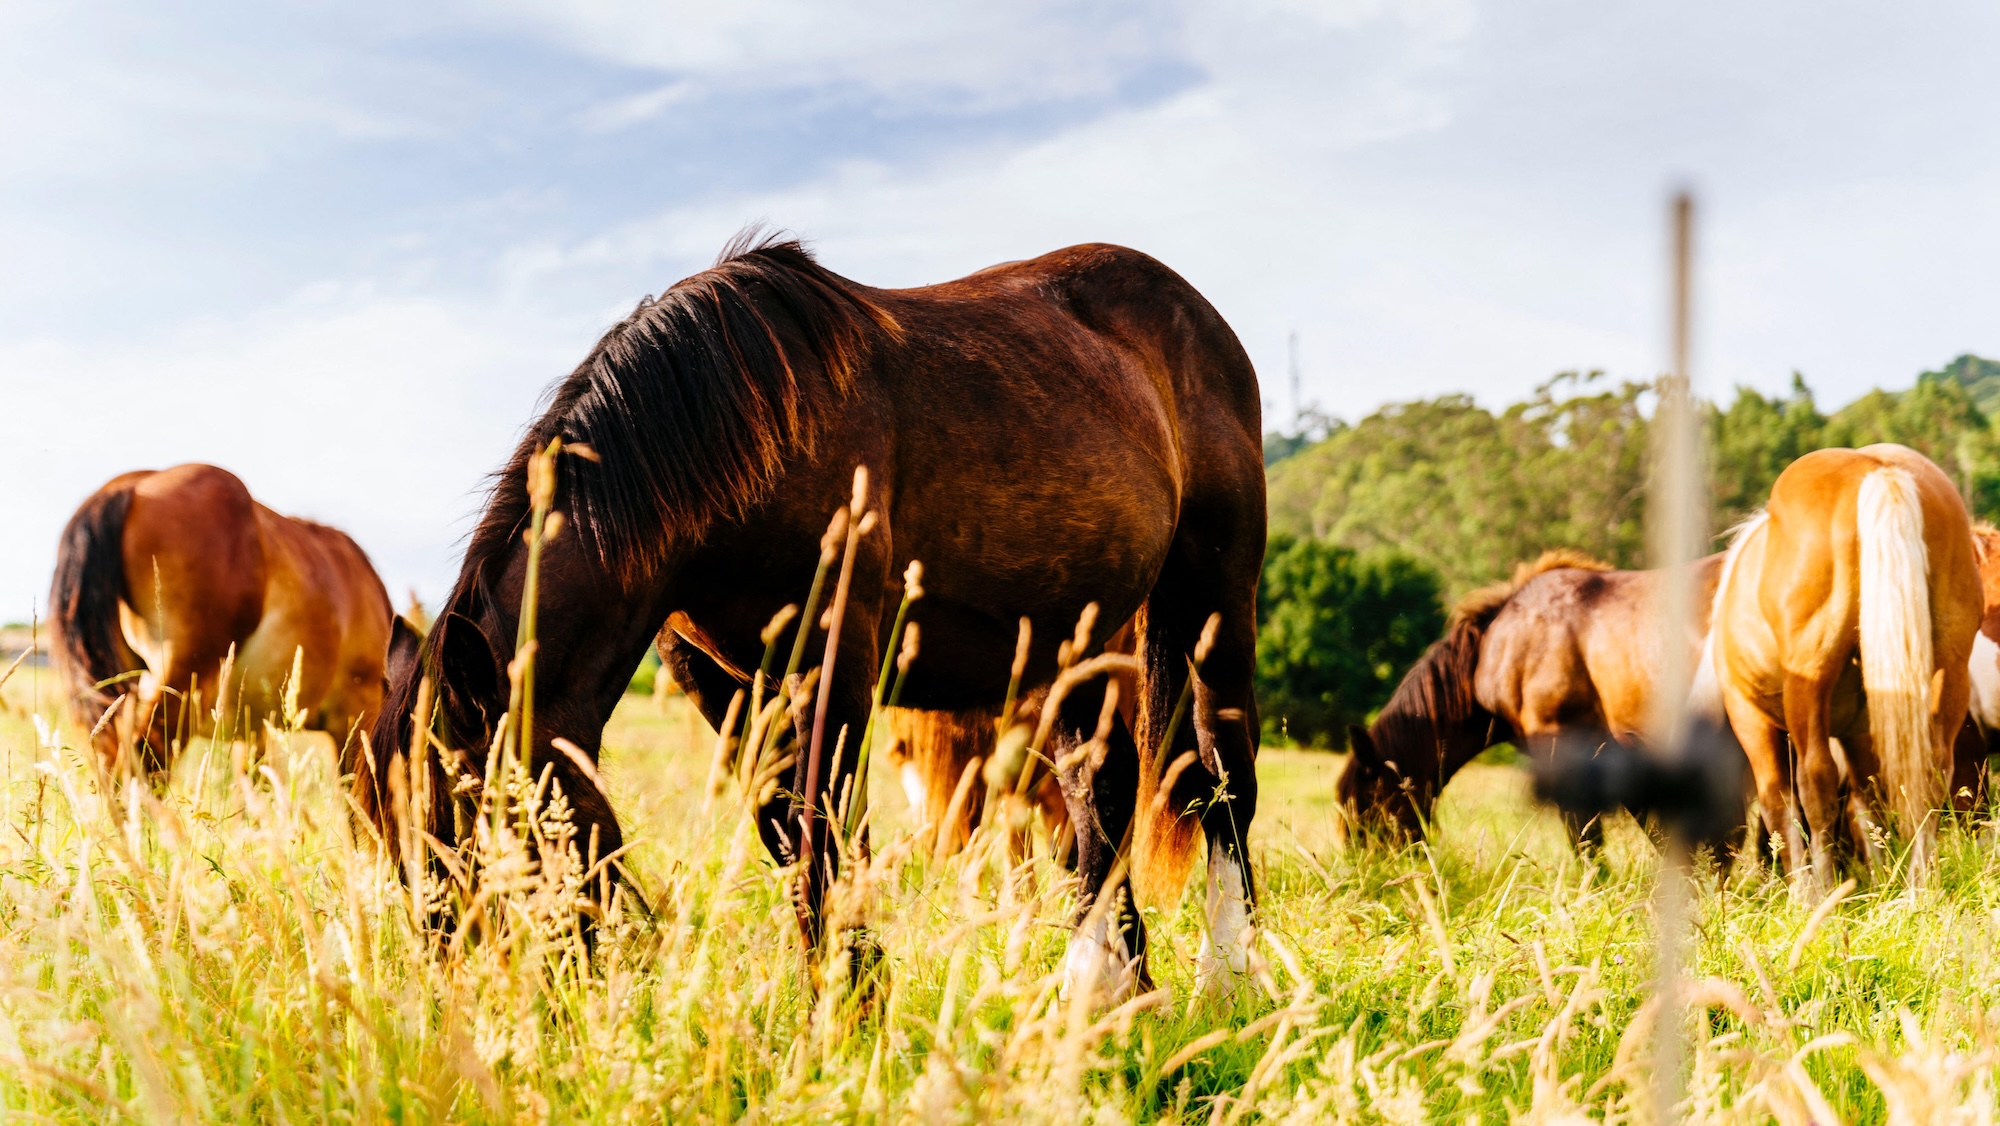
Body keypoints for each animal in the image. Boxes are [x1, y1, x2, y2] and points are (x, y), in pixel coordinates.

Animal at [362, 236, 1266, 1001]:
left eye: (476, 820)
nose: (463, 1000)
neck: (734, 436)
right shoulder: (723, 683)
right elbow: (788, 835)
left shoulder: (834, 658)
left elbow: (823, 837)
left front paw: (846, 1015)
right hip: (1074, 635)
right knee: (1097, 793)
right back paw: (1108, 991)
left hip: (1218, 597)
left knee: (1224, 775)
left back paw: (1230, 981)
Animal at [1704, 444, 1981, 891]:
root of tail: (1876, 470)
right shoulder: (1859, 730)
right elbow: (1867, 803)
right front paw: (1881, 876)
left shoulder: (1751, 719)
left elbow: (1779, 801)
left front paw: (1807, 888)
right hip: (1950, 671)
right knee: (1932, 769)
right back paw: (1919, 881)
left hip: (1809, 680)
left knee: (1813, 781)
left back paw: (1821, 889)